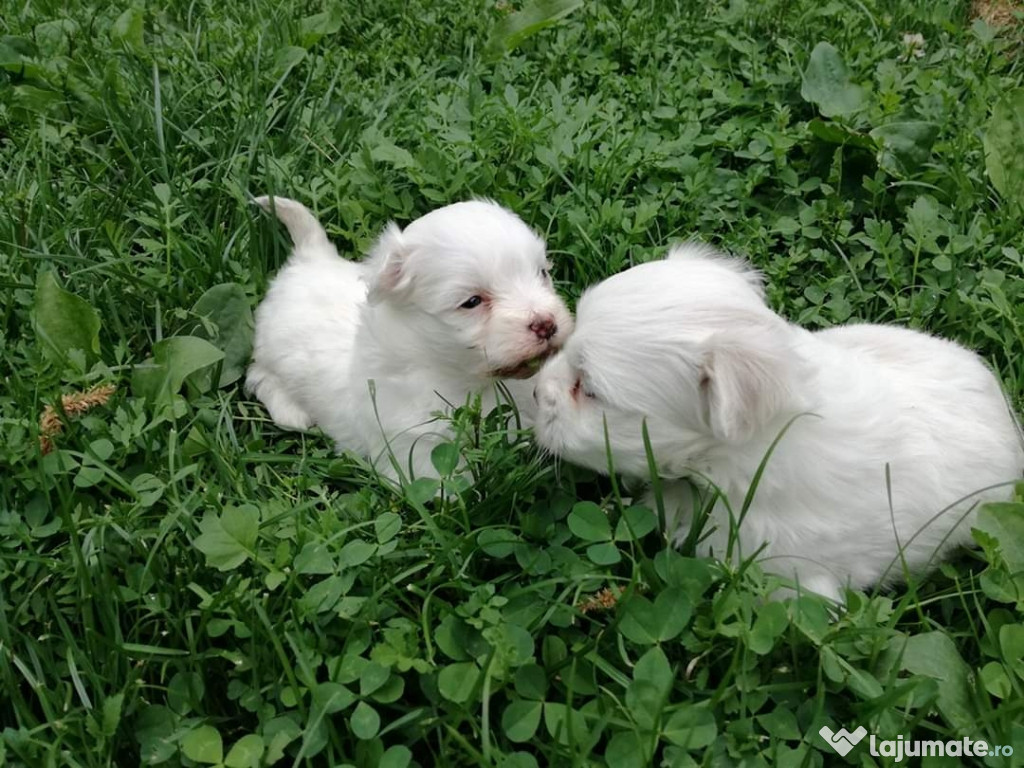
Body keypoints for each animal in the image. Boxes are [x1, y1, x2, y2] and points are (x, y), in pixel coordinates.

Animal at [244, 193, 573, 481]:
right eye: (472, 302)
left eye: (542, 273)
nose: (546, 324)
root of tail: (309, 258)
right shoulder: (413, 441)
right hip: (270, 352)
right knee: (258, 375)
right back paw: (291, 412)